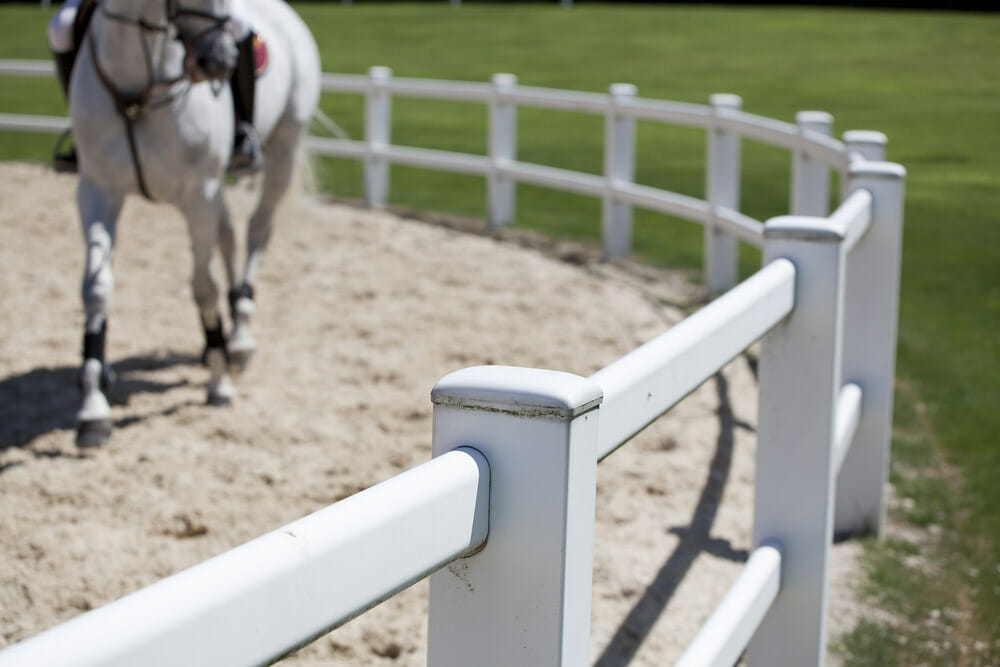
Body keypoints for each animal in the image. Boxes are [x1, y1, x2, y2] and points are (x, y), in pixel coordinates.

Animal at [69, 0, 320, 446]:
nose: (218, 61)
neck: (139, 86)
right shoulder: (97, 190)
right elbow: (96, 290)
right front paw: (93, 406)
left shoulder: (197, 193)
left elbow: (204, 287)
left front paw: (219, 381)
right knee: (228, 236)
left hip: (283, 149)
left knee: (257, 230)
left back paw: (239, 335)